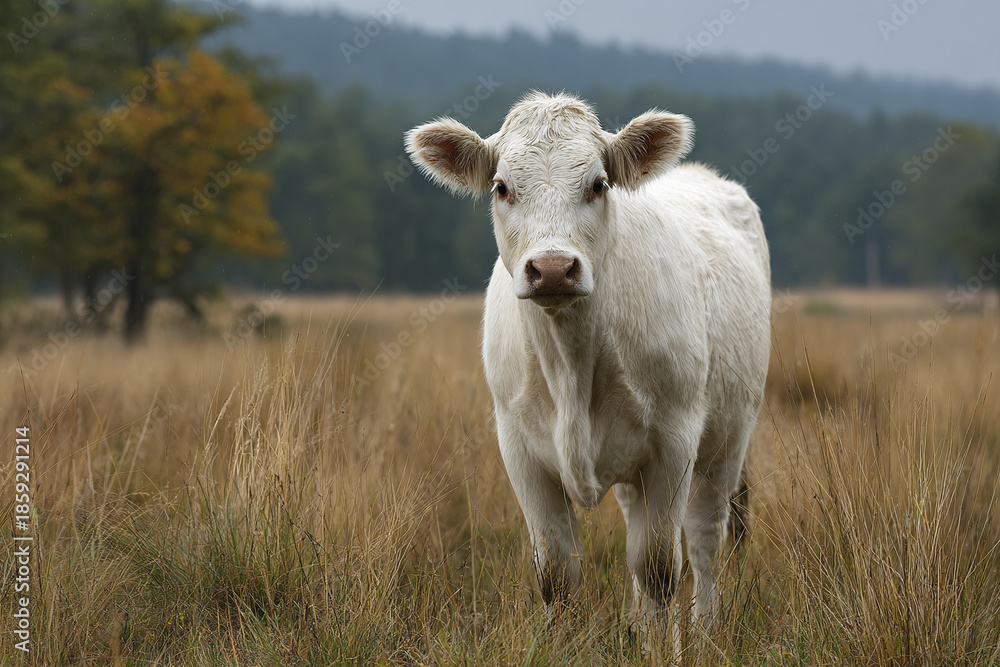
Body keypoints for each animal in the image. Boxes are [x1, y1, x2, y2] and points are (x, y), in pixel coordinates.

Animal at [405, 92, 770, 647]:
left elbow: (659, 567)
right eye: (501, 187)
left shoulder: (673, 441)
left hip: (728, 440)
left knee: (706, 542)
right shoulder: (520, 449)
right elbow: (557, 573)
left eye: (598, 184)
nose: (553, 268)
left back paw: (704, 633)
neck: (572, 365)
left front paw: (659, 651)